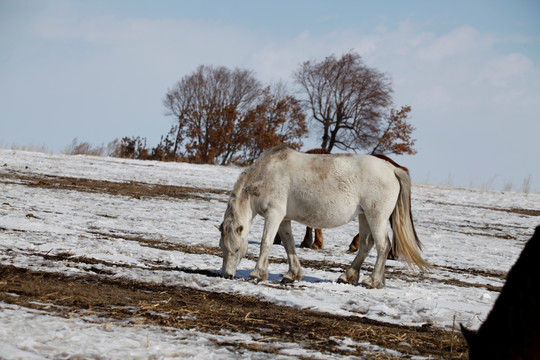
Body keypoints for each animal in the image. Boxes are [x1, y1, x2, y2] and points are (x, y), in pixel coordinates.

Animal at [217, 145, 428, 288]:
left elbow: (265, 243)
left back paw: (372, 280)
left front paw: (257, 273)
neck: (267, 174)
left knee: (383, 245)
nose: (226, 275)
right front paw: (292, 275)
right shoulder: (284, 220)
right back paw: (348, 277)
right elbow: (288, 245)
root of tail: (392, 168)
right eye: (222, 247)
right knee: (366, 245)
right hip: (364, 217)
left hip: (376, 217)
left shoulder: (274, 215)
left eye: (237, 249)